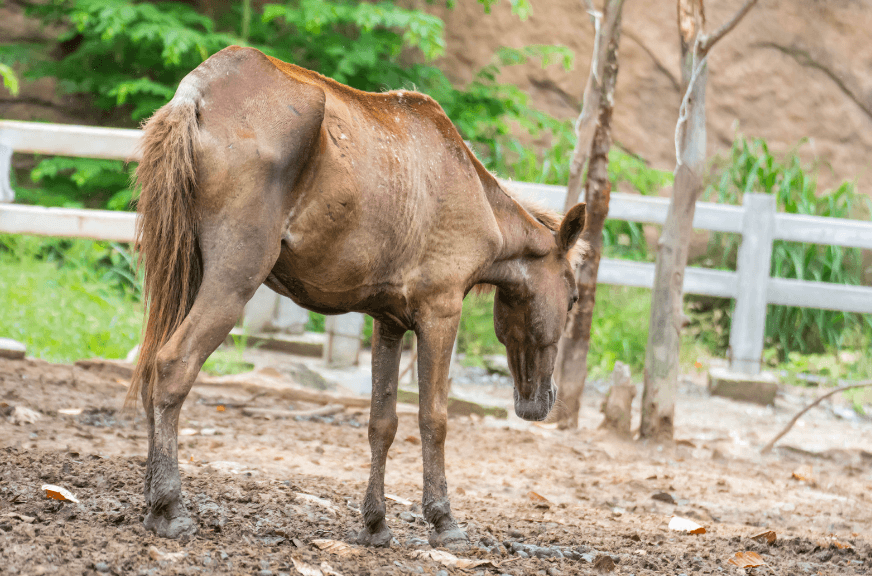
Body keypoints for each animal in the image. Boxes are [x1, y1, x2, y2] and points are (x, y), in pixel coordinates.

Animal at [129, 45, 587, 549]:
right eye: (572, 299)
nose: (540, 401)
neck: (477, 199)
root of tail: (195, 94)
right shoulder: (440, 312)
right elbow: (434, 419)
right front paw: (443, 520)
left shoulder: (388, 322)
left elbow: (381, 424)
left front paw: (375, 522)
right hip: (234, 279)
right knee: (173, 366)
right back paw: (170, 506)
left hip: (186, 274)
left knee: (150, 371)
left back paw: (151, 502)